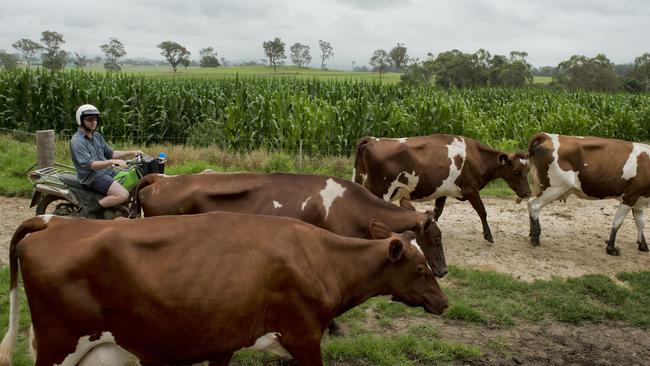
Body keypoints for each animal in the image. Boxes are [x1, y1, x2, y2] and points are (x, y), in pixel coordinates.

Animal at [0, 213, 446, 364]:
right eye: (420, 268)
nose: (444, 301)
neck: (321, 257)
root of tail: (52, 221)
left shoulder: (223, 340)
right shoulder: (303, 335)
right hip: (59, 345)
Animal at [352, 134, 528, 243]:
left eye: (527, 170)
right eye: (516, 171)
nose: (527, 192)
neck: (475, 155)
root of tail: (372, 140)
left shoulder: (443, 191)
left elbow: (437, 212)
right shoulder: (471, 190)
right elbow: (482, 211)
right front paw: (488, 235)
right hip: (380, 190)